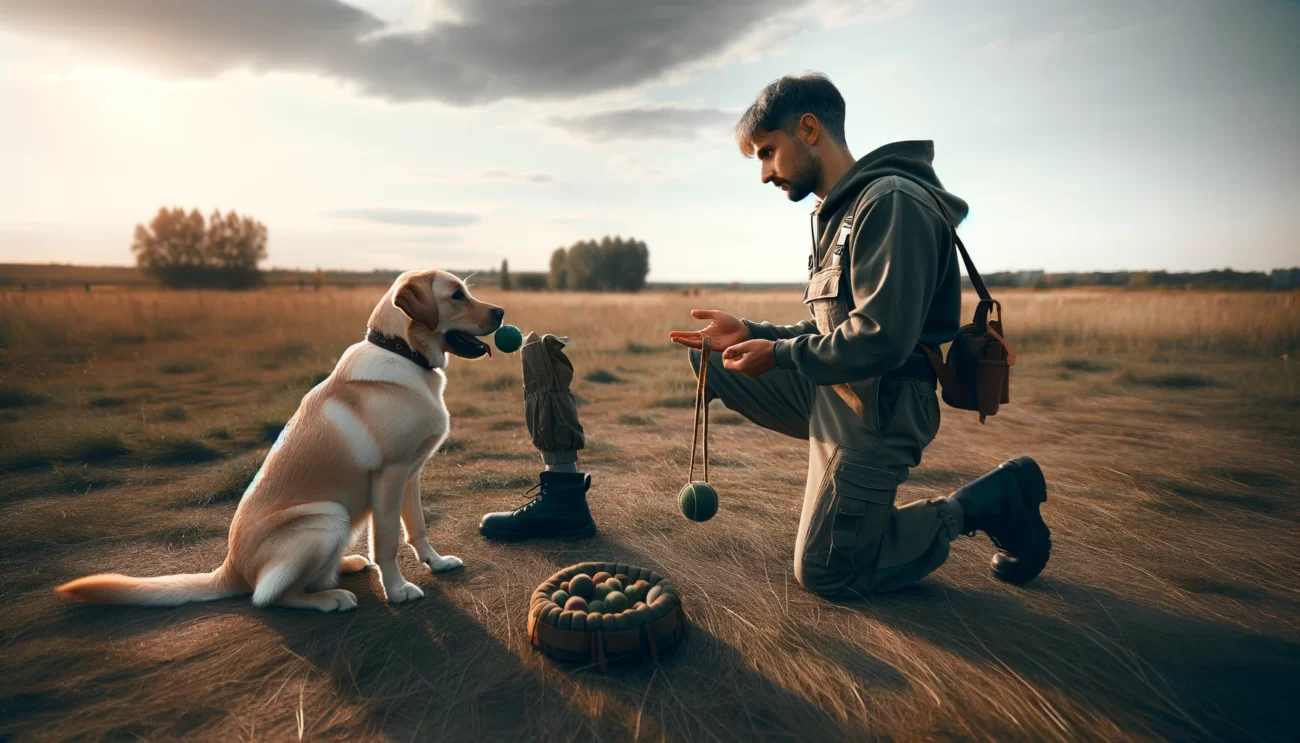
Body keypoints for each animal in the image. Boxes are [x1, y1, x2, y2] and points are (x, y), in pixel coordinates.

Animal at [55, 270, 501, 613]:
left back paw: (345, 566)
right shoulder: (390, 477)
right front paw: (397, 590)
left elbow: (417, 528)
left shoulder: (411, 475)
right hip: (328, 517)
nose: (501, 312)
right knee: (268, 596)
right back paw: (331, 598)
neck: (405, 353)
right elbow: (388, 542)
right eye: (456, 295)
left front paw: (436, 563)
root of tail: (230, 568)